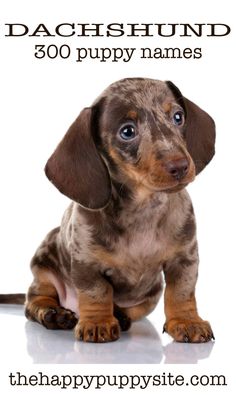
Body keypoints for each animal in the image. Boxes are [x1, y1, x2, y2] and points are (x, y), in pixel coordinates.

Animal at [4, 78, 216, 344]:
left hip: (152, 293)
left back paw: (120, 315)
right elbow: (97, 292)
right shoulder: (86, 264)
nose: (180, 166)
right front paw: (97, 322)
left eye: (178, 117)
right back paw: (55, 314)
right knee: (34, 302)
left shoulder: (185, 259)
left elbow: (181, 292)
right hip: (42, 268)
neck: (142, 209)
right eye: (127, 131)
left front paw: (187, 322)